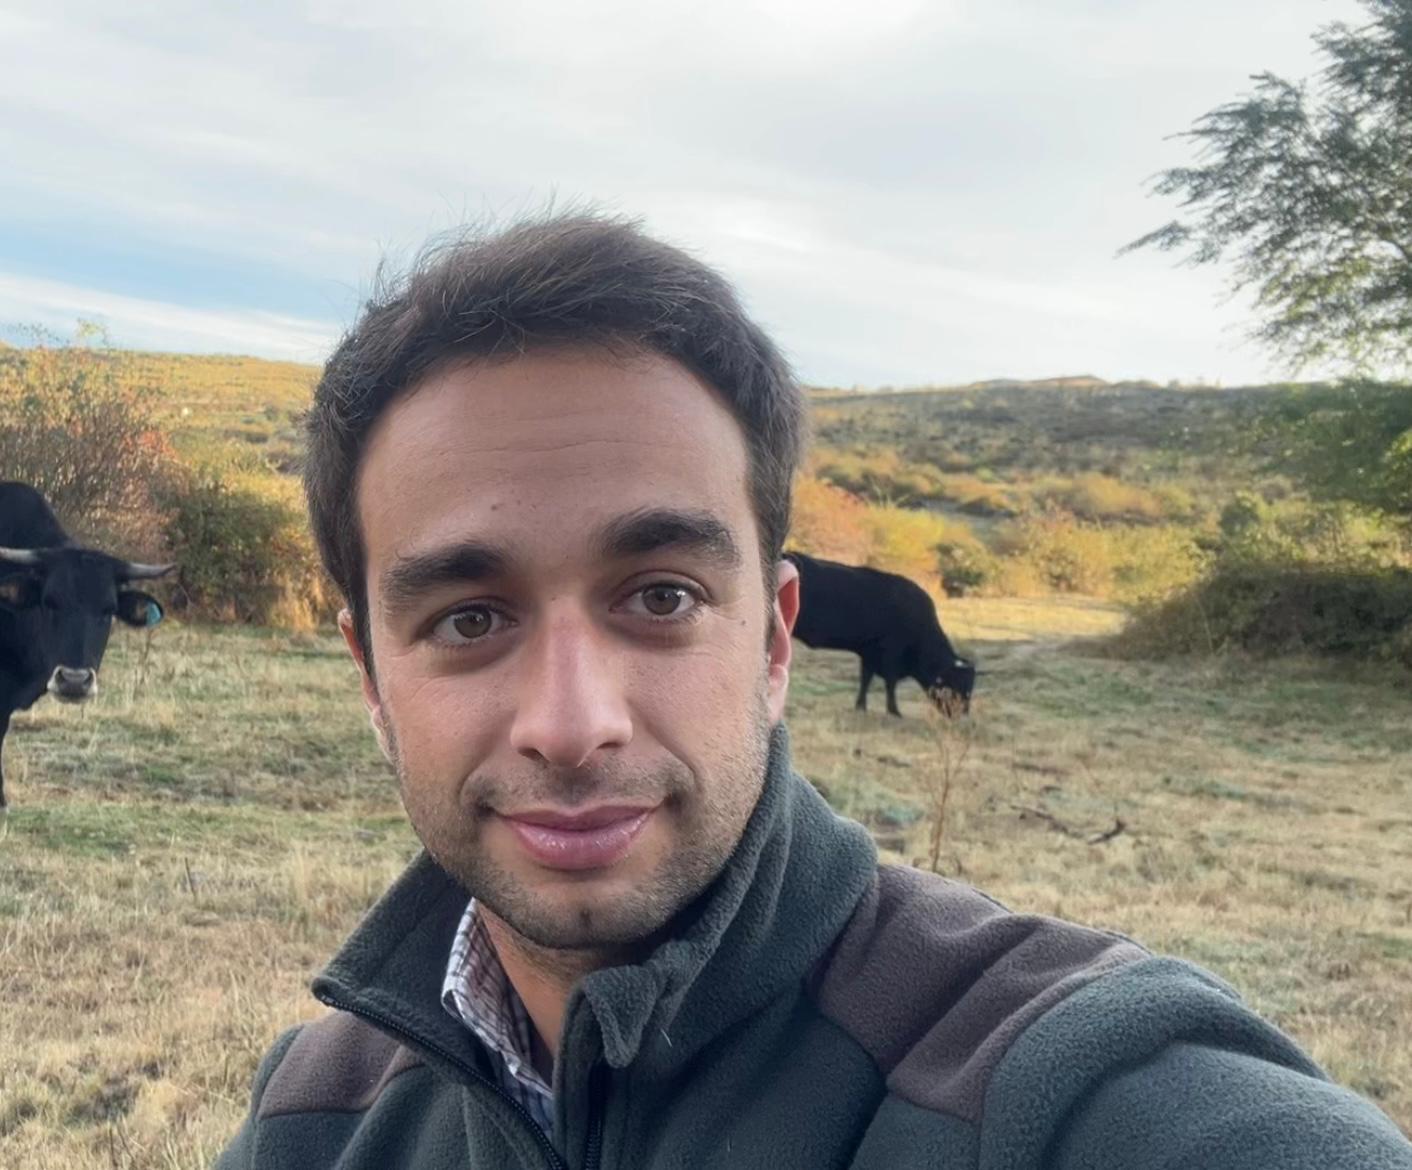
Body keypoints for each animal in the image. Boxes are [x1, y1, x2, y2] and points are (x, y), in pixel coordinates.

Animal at [785, 551, 976, 717]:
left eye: (970, 687)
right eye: (957, 684)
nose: (963, 714)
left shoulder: (869, 652)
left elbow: (865, 680)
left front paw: (861, 707)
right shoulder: (891, 653)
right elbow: (890, 683)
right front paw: (894, 711)